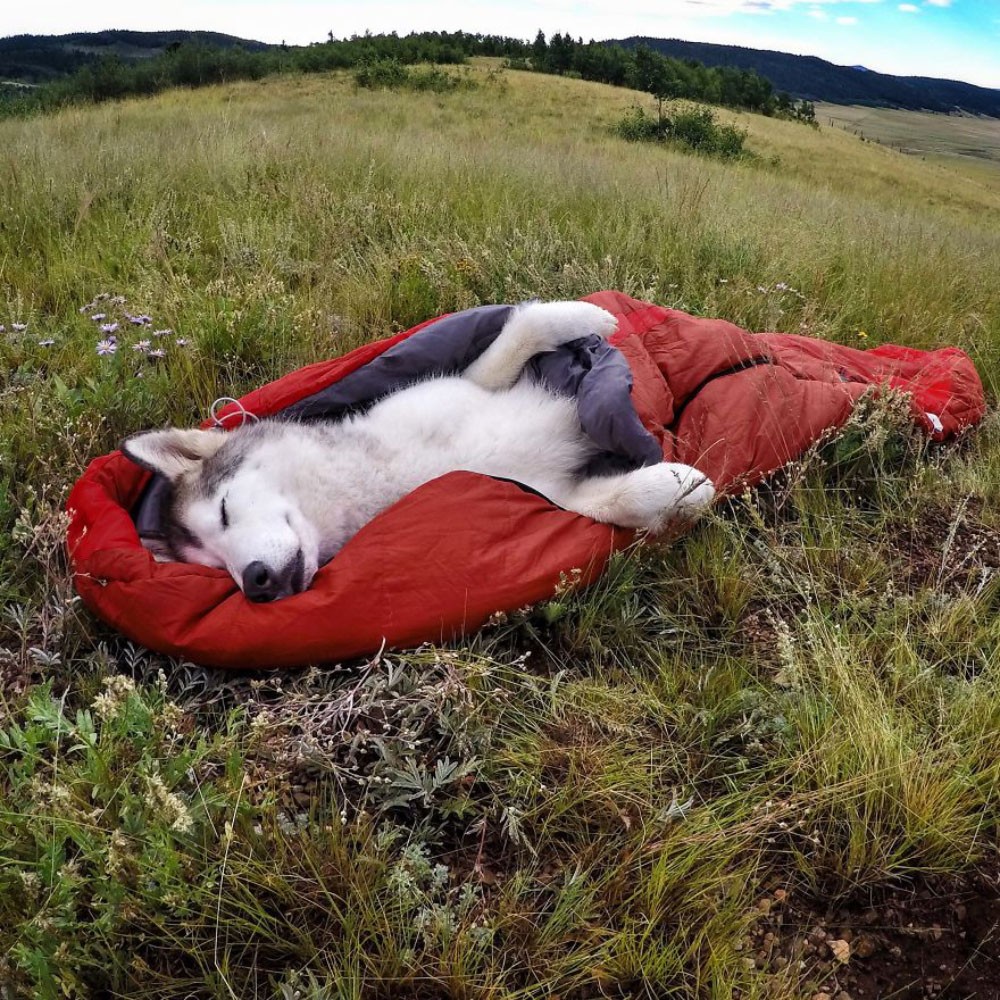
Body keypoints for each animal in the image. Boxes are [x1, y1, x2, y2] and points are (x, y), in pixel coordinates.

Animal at [125, 300, 716, 600]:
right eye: (215, 567)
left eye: (225, 510)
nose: (255, 584)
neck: (390, 472)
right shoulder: (544, 495)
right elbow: (611, 501)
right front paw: (677, 485)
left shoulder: (470, 383)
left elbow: (520, 327)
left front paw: (583, 316)